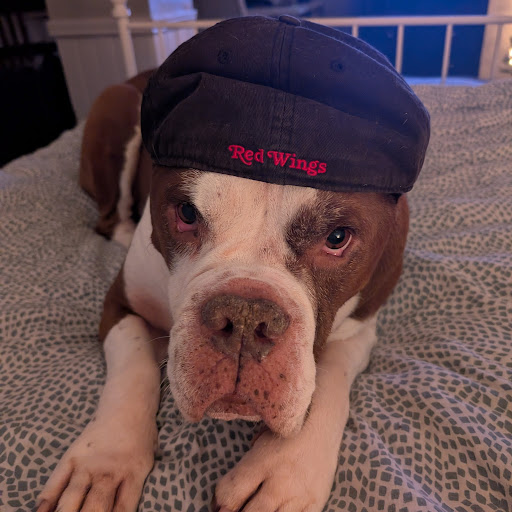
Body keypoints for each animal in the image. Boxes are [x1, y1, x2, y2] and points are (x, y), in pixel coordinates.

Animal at [36, 16, 429, 512]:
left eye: (337, 238)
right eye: (186, 213)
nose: (244, 317)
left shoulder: (362, 324)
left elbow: (328, 373)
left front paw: (283, 468)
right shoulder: (120, 303)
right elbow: (133, 363)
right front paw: (103, 460)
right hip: (114, 106)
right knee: (106, 216)